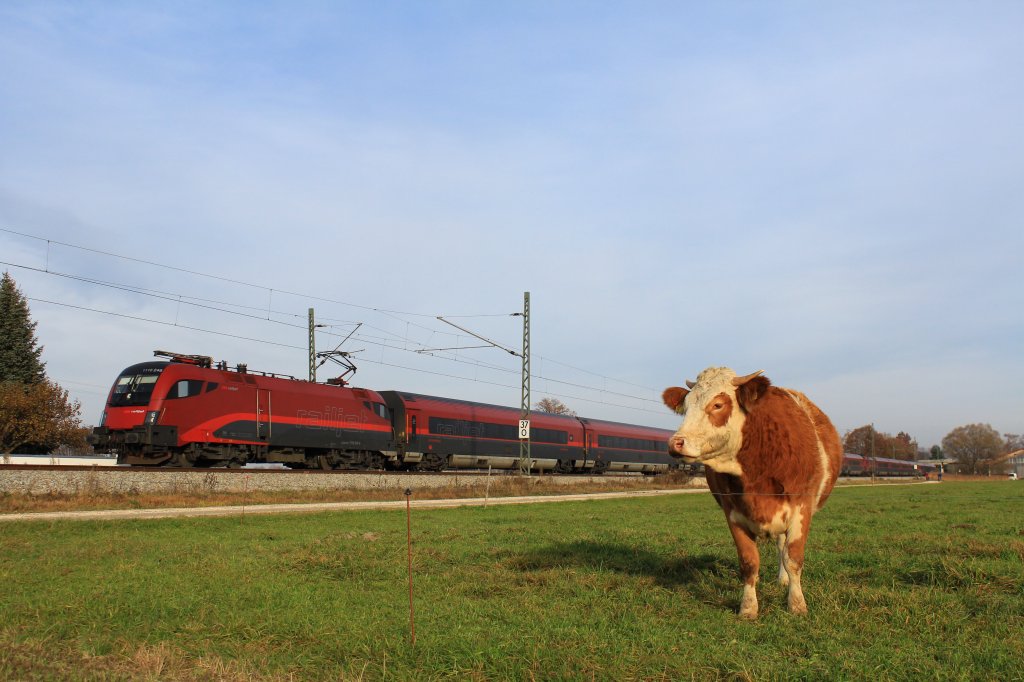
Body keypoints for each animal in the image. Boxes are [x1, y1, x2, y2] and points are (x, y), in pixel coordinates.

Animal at [662, 367, 841, 619]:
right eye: (686, 407)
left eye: (718, 404)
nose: (676, 443)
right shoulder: (733, 513)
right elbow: (749, 562)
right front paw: (748, 608)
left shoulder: (801, 509)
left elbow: (793, 558)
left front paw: (797, 604)